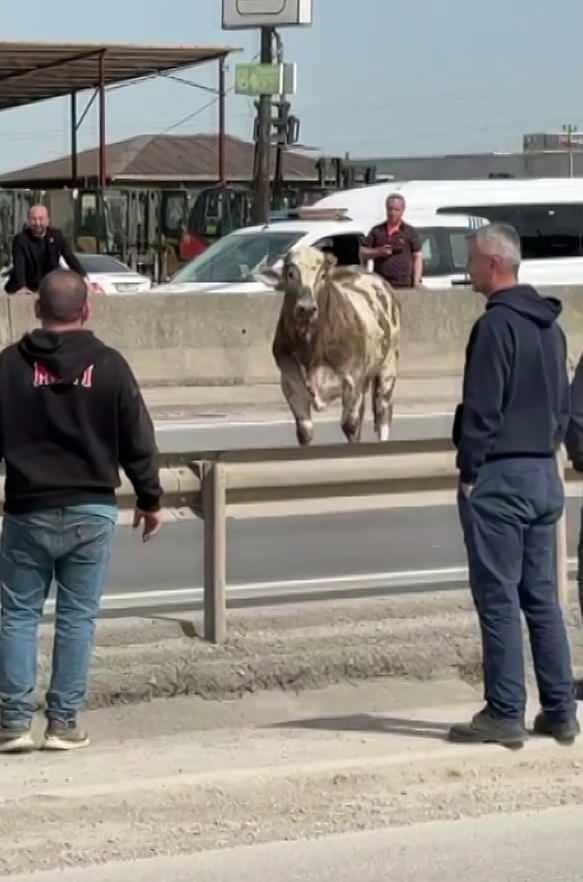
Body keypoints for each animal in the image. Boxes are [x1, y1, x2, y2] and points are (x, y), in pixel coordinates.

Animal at [264, 244, 402, 444]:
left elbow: (350, 426)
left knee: (383, 411)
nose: (306, 308)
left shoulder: (353, 381)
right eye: (290, 273)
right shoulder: (291, 382)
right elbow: (305, 431)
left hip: (388, 366)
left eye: (322, 275)